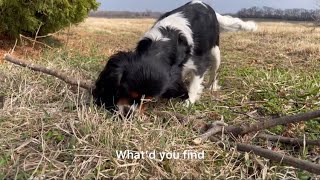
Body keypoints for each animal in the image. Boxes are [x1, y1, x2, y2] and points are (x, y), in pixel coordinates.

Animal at [91, 0, 256, 112]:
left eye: (149, 101)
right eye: (125, 91)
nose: (128, 113)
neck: (164, 41)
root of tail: (208, 7)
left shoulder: (199, 64)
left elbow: (194, 85)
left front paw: (188, 102)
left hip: (215, 52)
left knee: (214, 72)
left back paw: (212, 86)